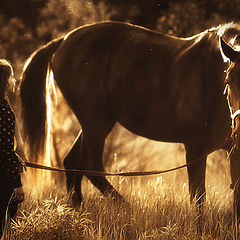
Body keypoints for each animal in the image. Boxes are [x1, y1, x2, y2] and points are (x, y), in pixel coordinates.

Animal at [19, 21, 240, 221]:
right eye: (227, 80)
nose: (238, 129)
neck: (209, 74)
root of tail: (63, 40)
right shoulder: (195, 149)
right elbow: (198, 197)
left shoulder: (233, 150)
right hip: (96, 123)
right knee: (90, 165)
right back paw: (127, 208)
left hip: (92, 124)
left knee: (73, 163)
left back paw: (78, 213)